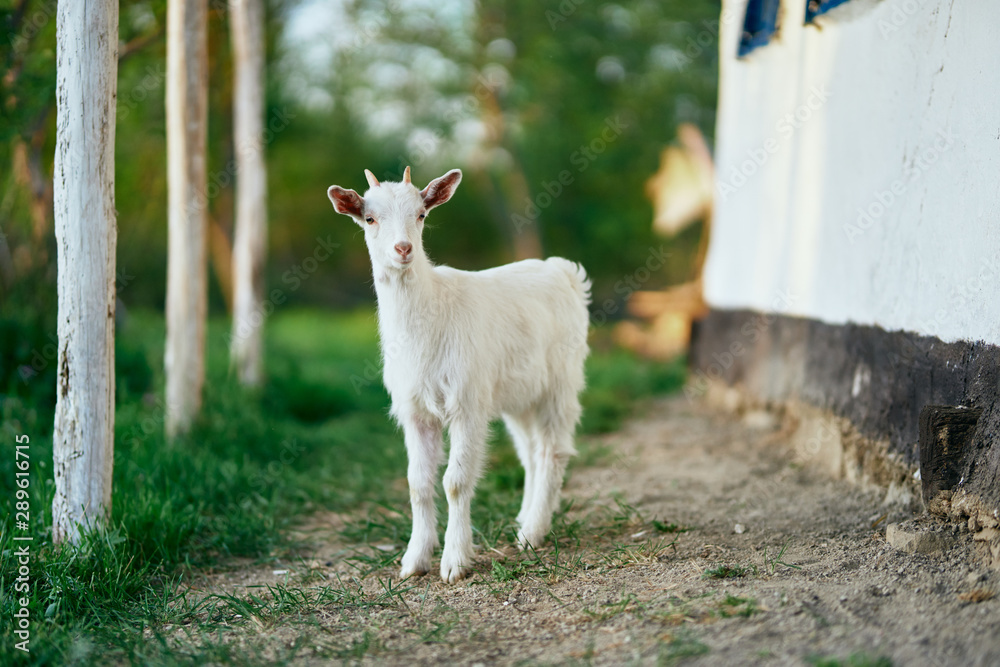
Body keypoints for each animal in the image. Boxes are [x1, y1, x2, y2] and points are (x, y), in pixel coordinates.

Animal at [327, 166, 591, 582]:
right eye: (369, 218)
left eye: (421, 214)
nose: (403, 249)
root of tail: (562, 270)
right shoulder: (416, 410)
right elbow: (417, 483)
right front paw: (414, 560)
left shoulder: (467, 402)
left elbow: (455, 481)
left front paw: (454, 561)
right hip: (518, 394)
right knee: (530, 451)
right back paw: (526, 519)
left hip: (560, 381)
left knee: (553, 449)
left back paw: (532, 533)